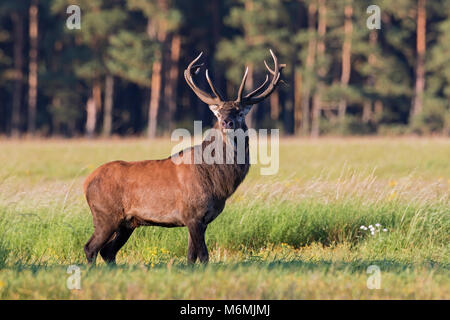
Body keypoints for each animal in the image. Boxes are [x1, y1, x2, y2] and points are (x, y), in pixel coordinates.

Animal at [83, 49, 284, 264]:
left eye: (239, 112)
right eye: (219, 113)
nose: (227, 122)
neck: (219, 184)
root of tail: (86, 183)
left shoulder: (200, 220)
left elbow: (191, 256)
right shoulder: (192, 214)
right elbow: (203, 255)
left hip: (127, 222)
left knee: (108, 251)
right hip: (105, 215)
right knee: (91, 248)